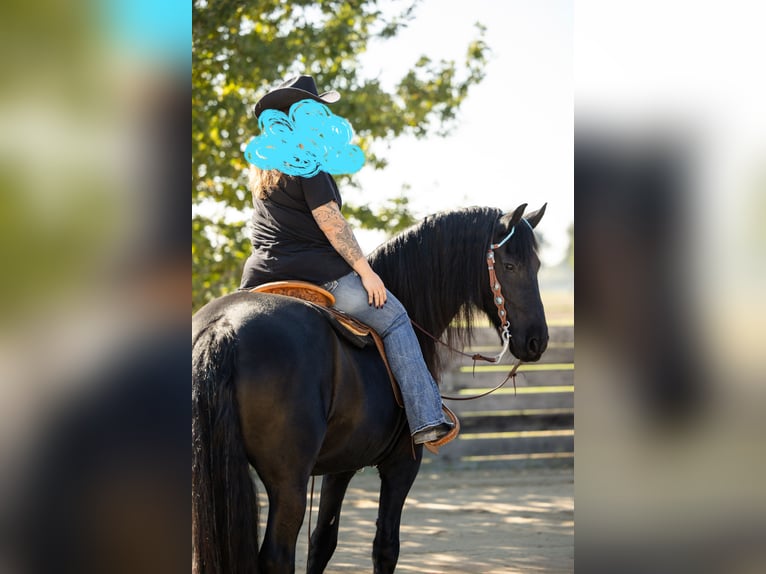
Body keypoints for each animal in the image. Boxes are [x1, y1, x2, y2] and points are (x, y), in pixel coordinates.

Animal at [192, 203, 549, 573]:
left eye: (537, 265)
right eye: (510, 265)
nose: (537, 340)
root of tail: (223, 328)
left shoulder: (341, 465)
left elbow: (322, 543)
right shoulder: (402, 464)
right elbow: (385, 547)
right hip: (288, 482)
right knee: (278, 556)